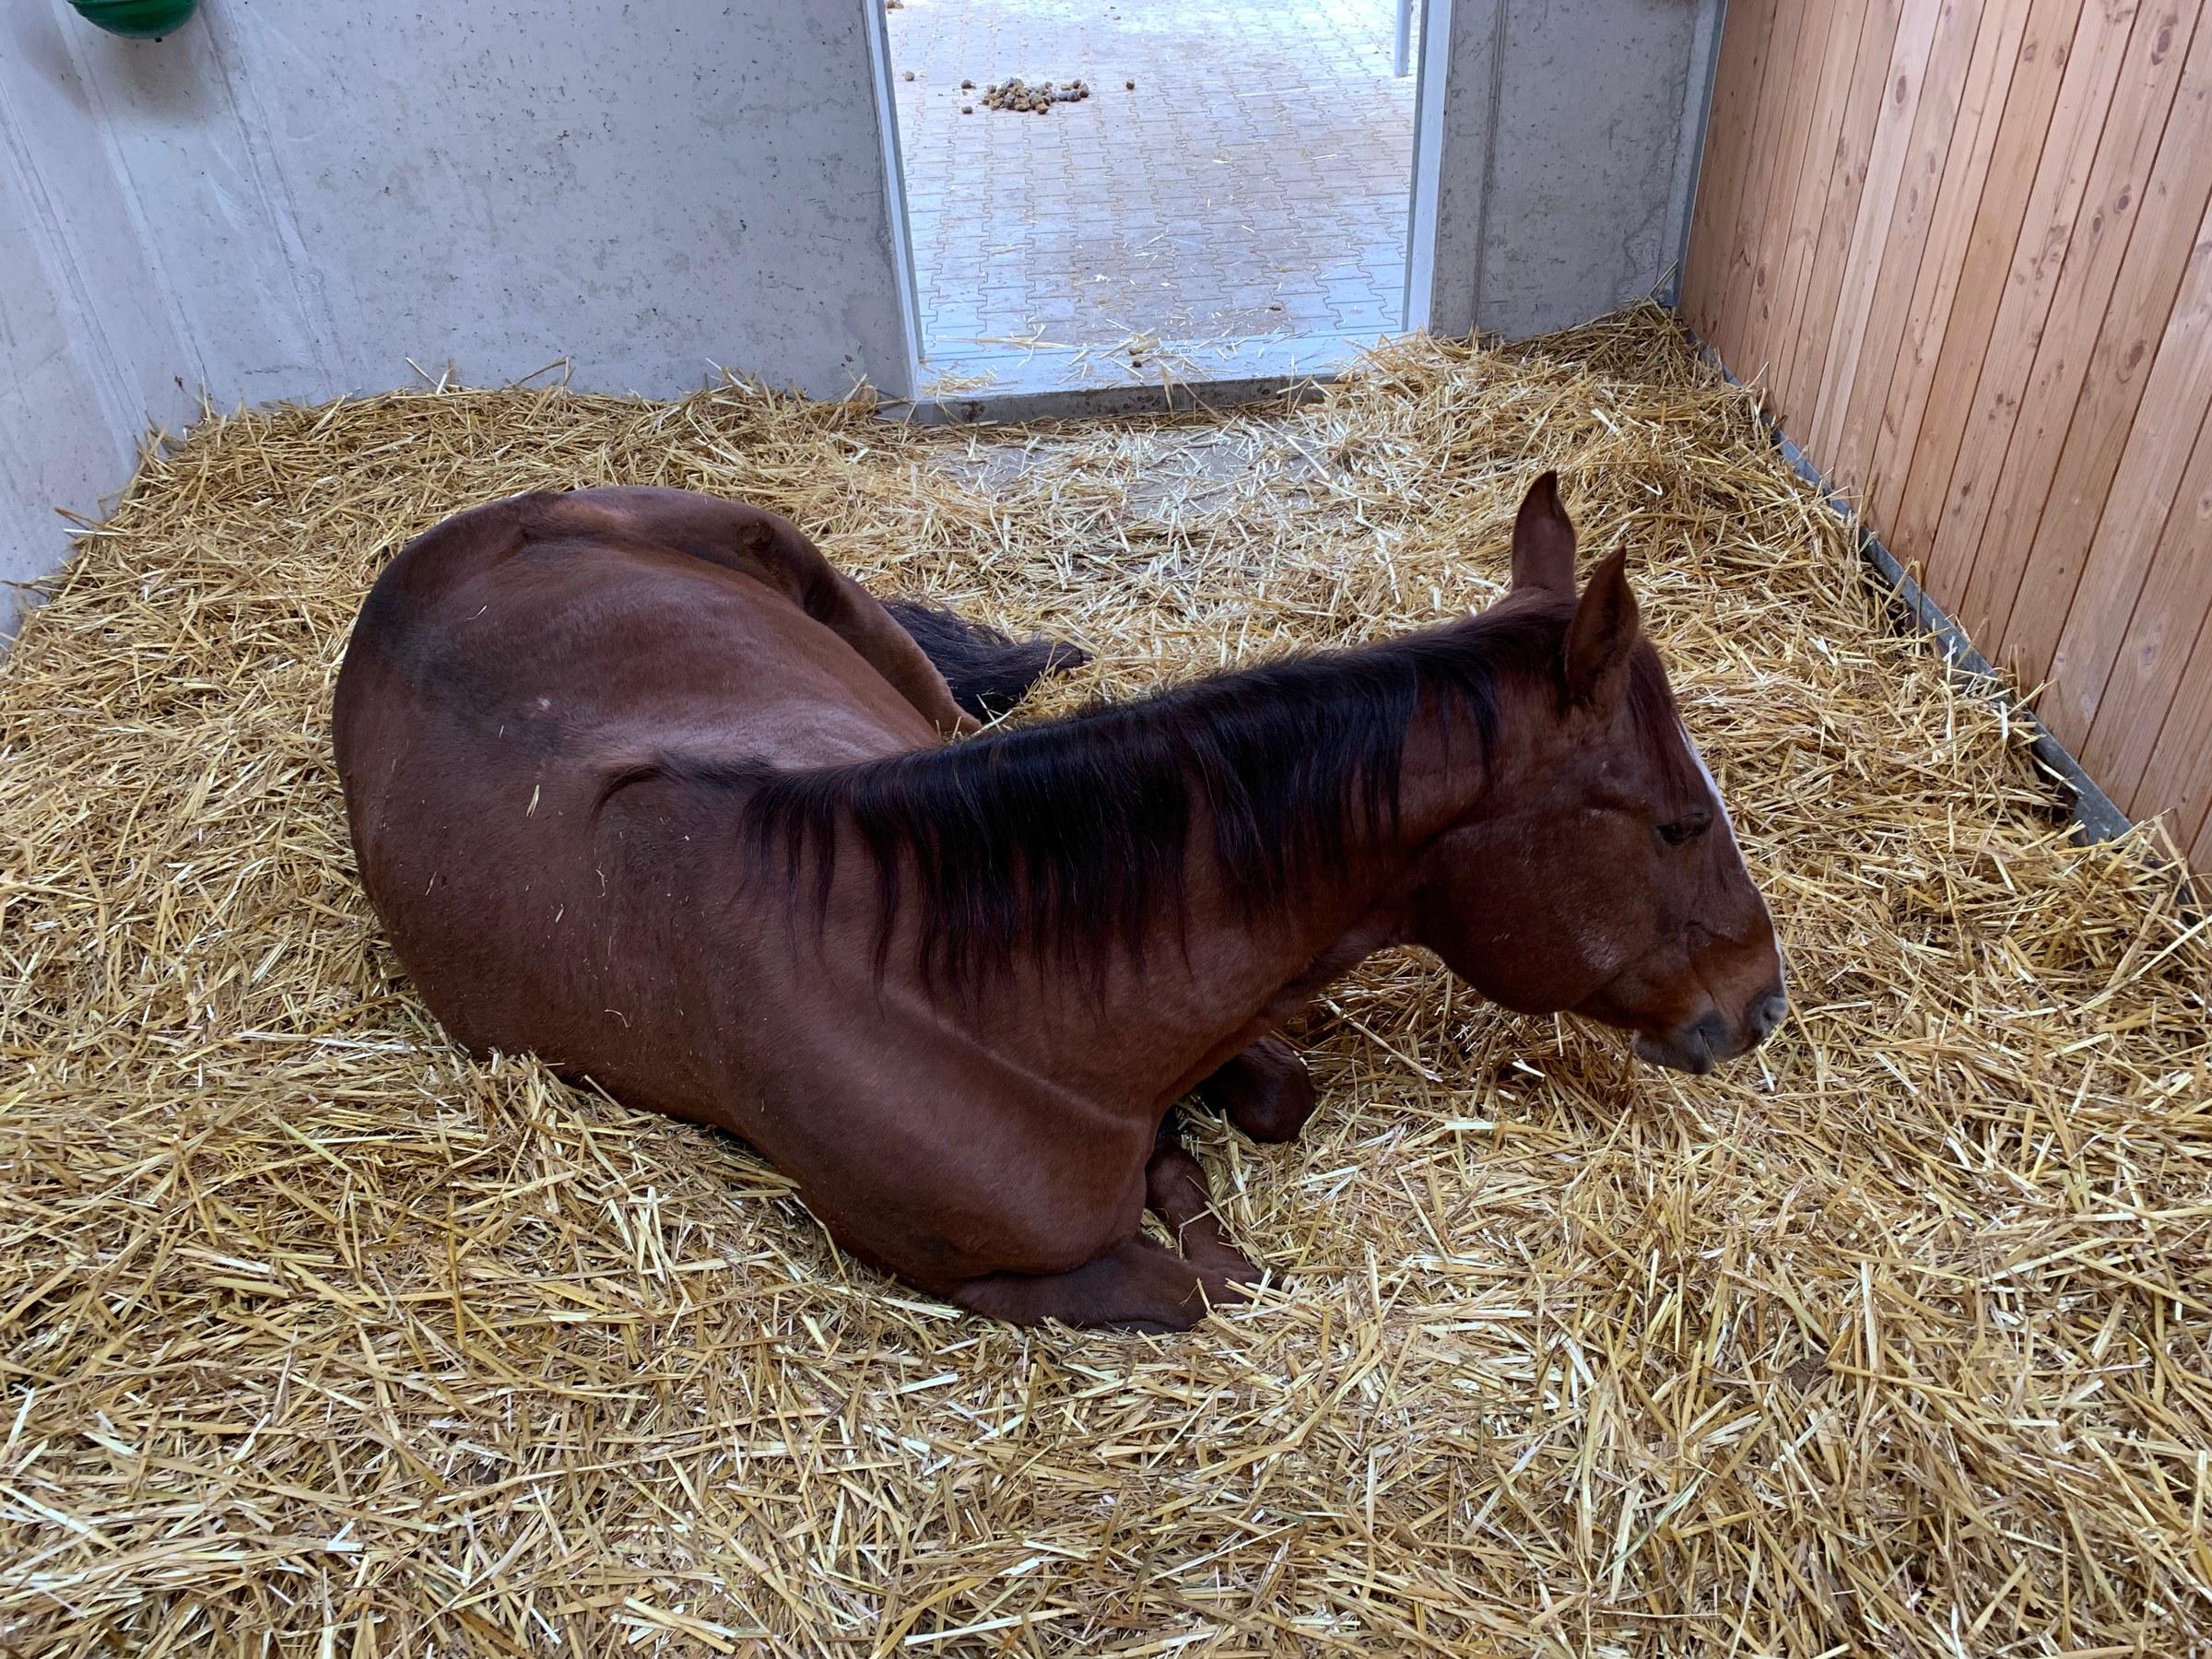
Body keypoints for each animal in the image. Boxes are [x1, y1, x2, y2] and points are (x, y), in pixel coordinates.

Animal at [332, 476, 1785, 1331]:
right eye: (1676, 821)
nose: (1759, 1002)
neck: (958, 997)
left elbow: (1268, 1102)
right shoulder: (990, 1272)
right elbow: (1197, 1282)